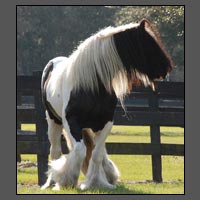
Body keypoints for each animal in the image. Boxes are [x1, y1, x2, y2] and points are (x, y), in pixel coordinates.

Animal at [40, 18, 173, 191]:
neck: (91, 86)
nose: (167, 68)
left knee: (97, 151)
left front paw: (95, 183)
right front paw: (67, 180)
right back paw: (51, 182)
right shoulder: (71, 122)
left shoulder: (106, 123)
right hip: (53, 121)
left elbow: (96, 154)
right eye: (149, 43)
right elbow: (80, 151)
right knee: (55, 150)